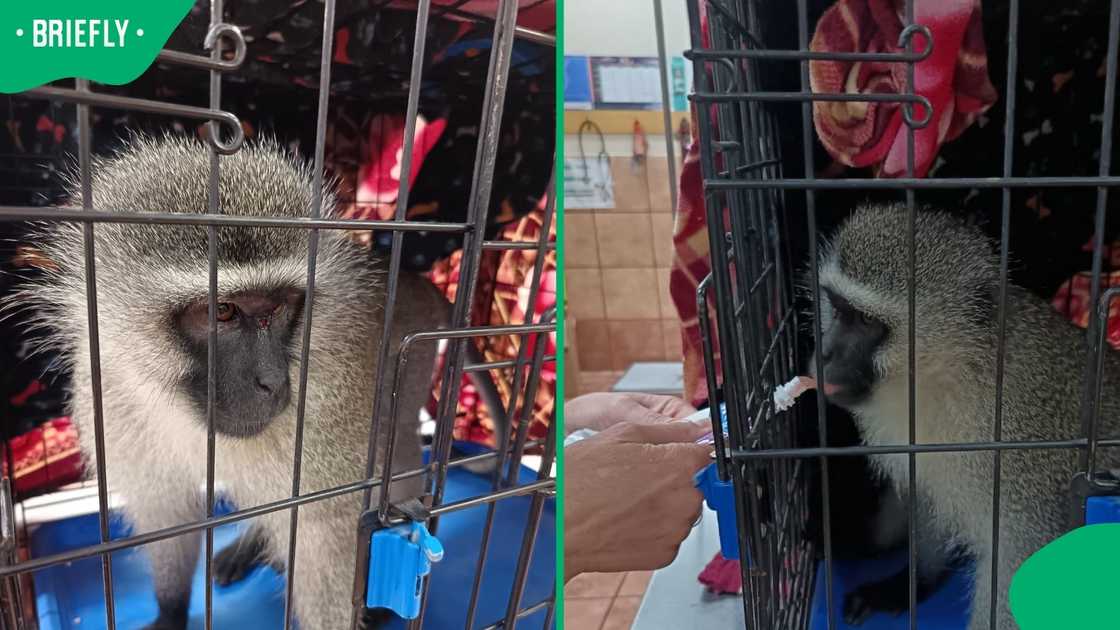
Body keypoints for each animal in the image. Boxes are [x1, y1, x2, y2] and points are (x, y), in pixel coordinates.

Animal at [6, 134, 504, 629]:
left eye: (280, 306)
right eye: (223, 311)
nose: (271, 381)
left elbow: (328, 536)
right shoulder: (109, 391)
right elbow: (168, 512)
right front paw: (170, 612)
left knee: (396, 453)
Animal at [809, 204, 1120, 630]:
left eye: (866, 322)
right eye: (838, 309)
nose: (823, 354)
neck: (950, 376)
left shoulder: (1017, 464)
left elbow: (1016, 560)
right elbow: (926, 494)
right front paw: (911, 582)